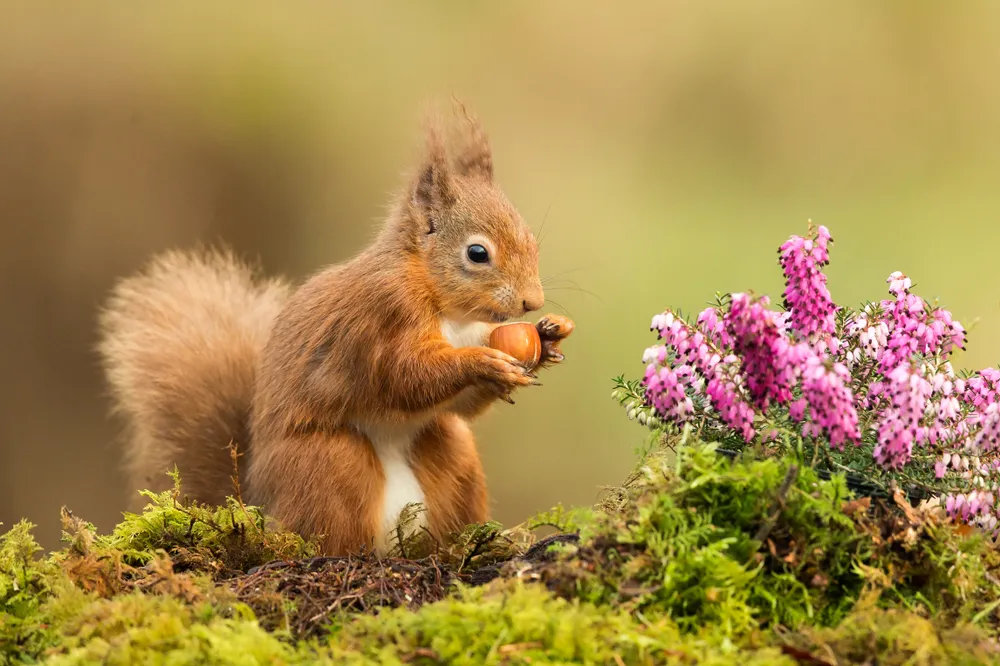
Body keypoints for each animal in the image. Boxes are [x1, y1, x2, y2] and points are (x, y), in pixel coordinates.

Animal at [97, 104, 574, 556]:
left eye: (530, 239)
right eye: (477, 253)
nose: (532, 302)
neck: (446, 309)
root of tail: (260, 502)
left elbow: (461, 406)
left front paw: (548, 337)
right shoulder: (381, 316)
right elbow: (405, 377)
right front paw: (482, 363)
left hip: (451, 454)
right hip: (329, 464)